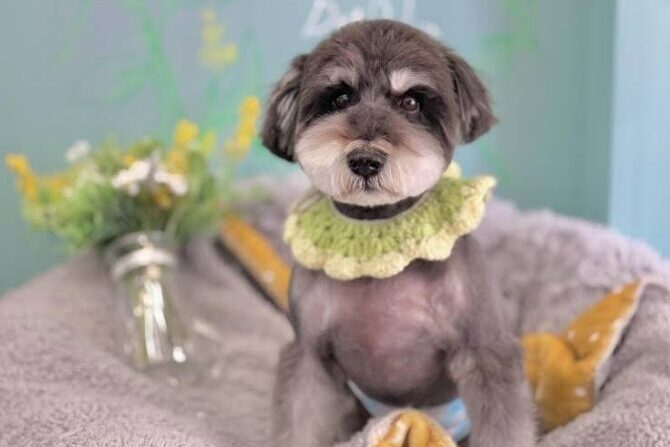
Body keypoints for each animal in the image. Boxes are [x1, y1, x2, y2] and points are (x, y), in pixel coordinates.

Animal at [261, 20, 536, 447]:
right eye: (340, 97)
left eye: (411, 102)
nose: (365, 160)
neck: (378, 227)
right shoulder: (308, 354)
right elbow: (298, 418)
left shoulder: (485, 349)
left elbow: (503, 426)